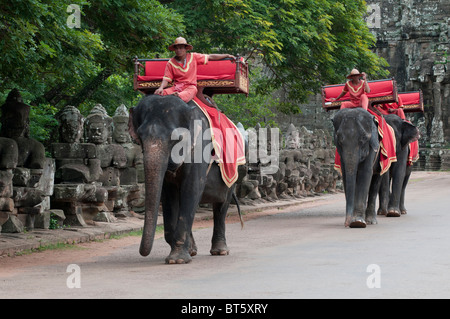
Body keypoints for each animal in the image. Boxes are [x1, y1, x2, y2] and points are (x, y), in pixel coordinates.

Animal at [126, 95, 246, 264]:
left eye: (176, 138)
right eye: (140, 137)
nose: (143, 253)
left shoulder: (200, 149)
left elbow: (191, 189)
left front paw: (177, 260)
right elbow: (168, 194)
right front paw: (188, 252)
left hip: (234, 172)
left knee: (222, 205)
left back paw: (220, 251)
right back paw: (194, 250)